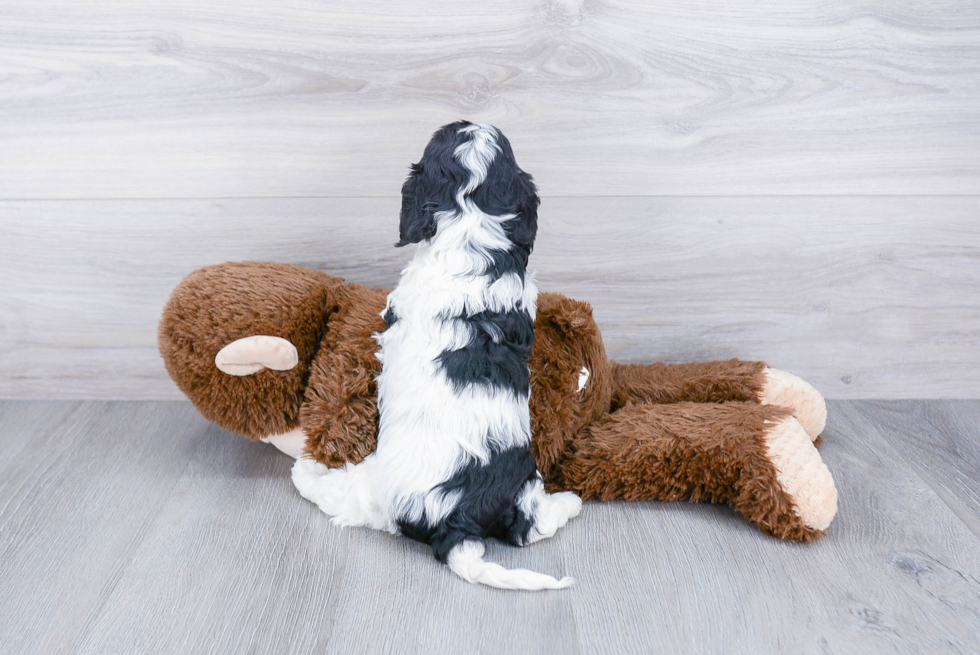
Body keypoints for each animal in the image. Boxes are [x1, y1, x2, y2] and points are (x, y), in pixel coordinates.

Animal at [290, 120, 580, 592]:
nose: (472, 120)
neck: (472, 226)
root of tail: (457, 520)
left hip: (373, 489)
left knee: (338, 498)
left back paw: (307, 473)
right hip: (525, 483)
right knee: (529, 527)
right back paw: (570, 502)